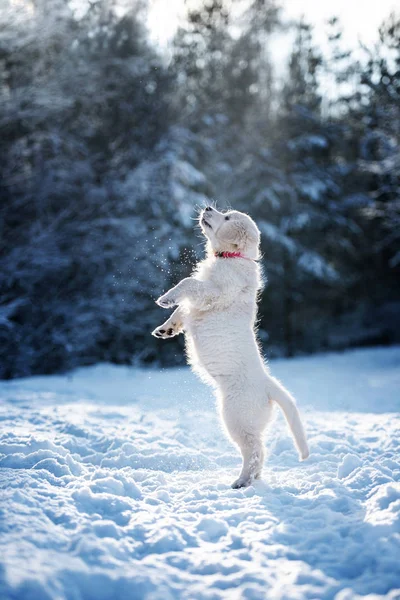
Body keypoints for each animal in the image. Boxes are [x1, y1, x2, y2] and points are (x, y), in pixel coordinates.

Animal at [153, 206, 310, 488]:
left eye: (226, 217)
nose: (207, 207)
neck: (231, 257)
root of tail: (269, 385)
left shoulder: (214, 292)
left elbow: (188, 283)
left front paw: (166, 298)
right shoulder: (198, 302)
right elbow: (182, 310)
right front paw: (166, 328)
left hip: (236, 417)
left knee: (255, 450)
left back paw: (242, 481)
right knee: (259, 451)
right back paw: (251, 479)